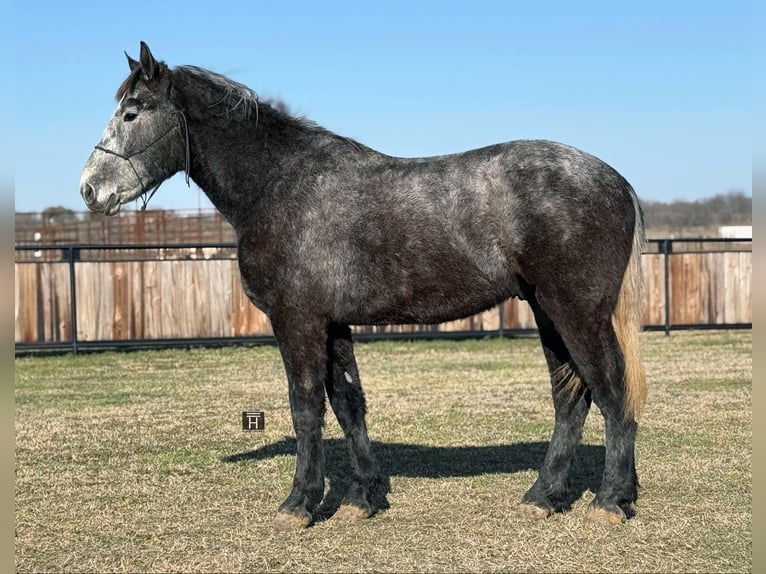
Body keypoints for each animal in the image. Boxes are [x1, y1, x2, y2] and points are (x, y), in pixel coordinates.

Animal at [80, 42, 647, 528]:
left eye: (132, 112)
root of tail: (616, 180)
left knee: (612, 391)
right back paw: (544, 496)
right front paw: (363, 498)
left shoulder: (298, 321)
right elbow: (348, 403)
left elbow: (306, 405)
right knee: (571, 398)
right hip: (548, 311)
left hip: (576, 311)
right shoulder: (333, 324)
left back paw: (610, 501)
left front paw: (300, 503)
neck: (282, 185)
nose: (89, 190)